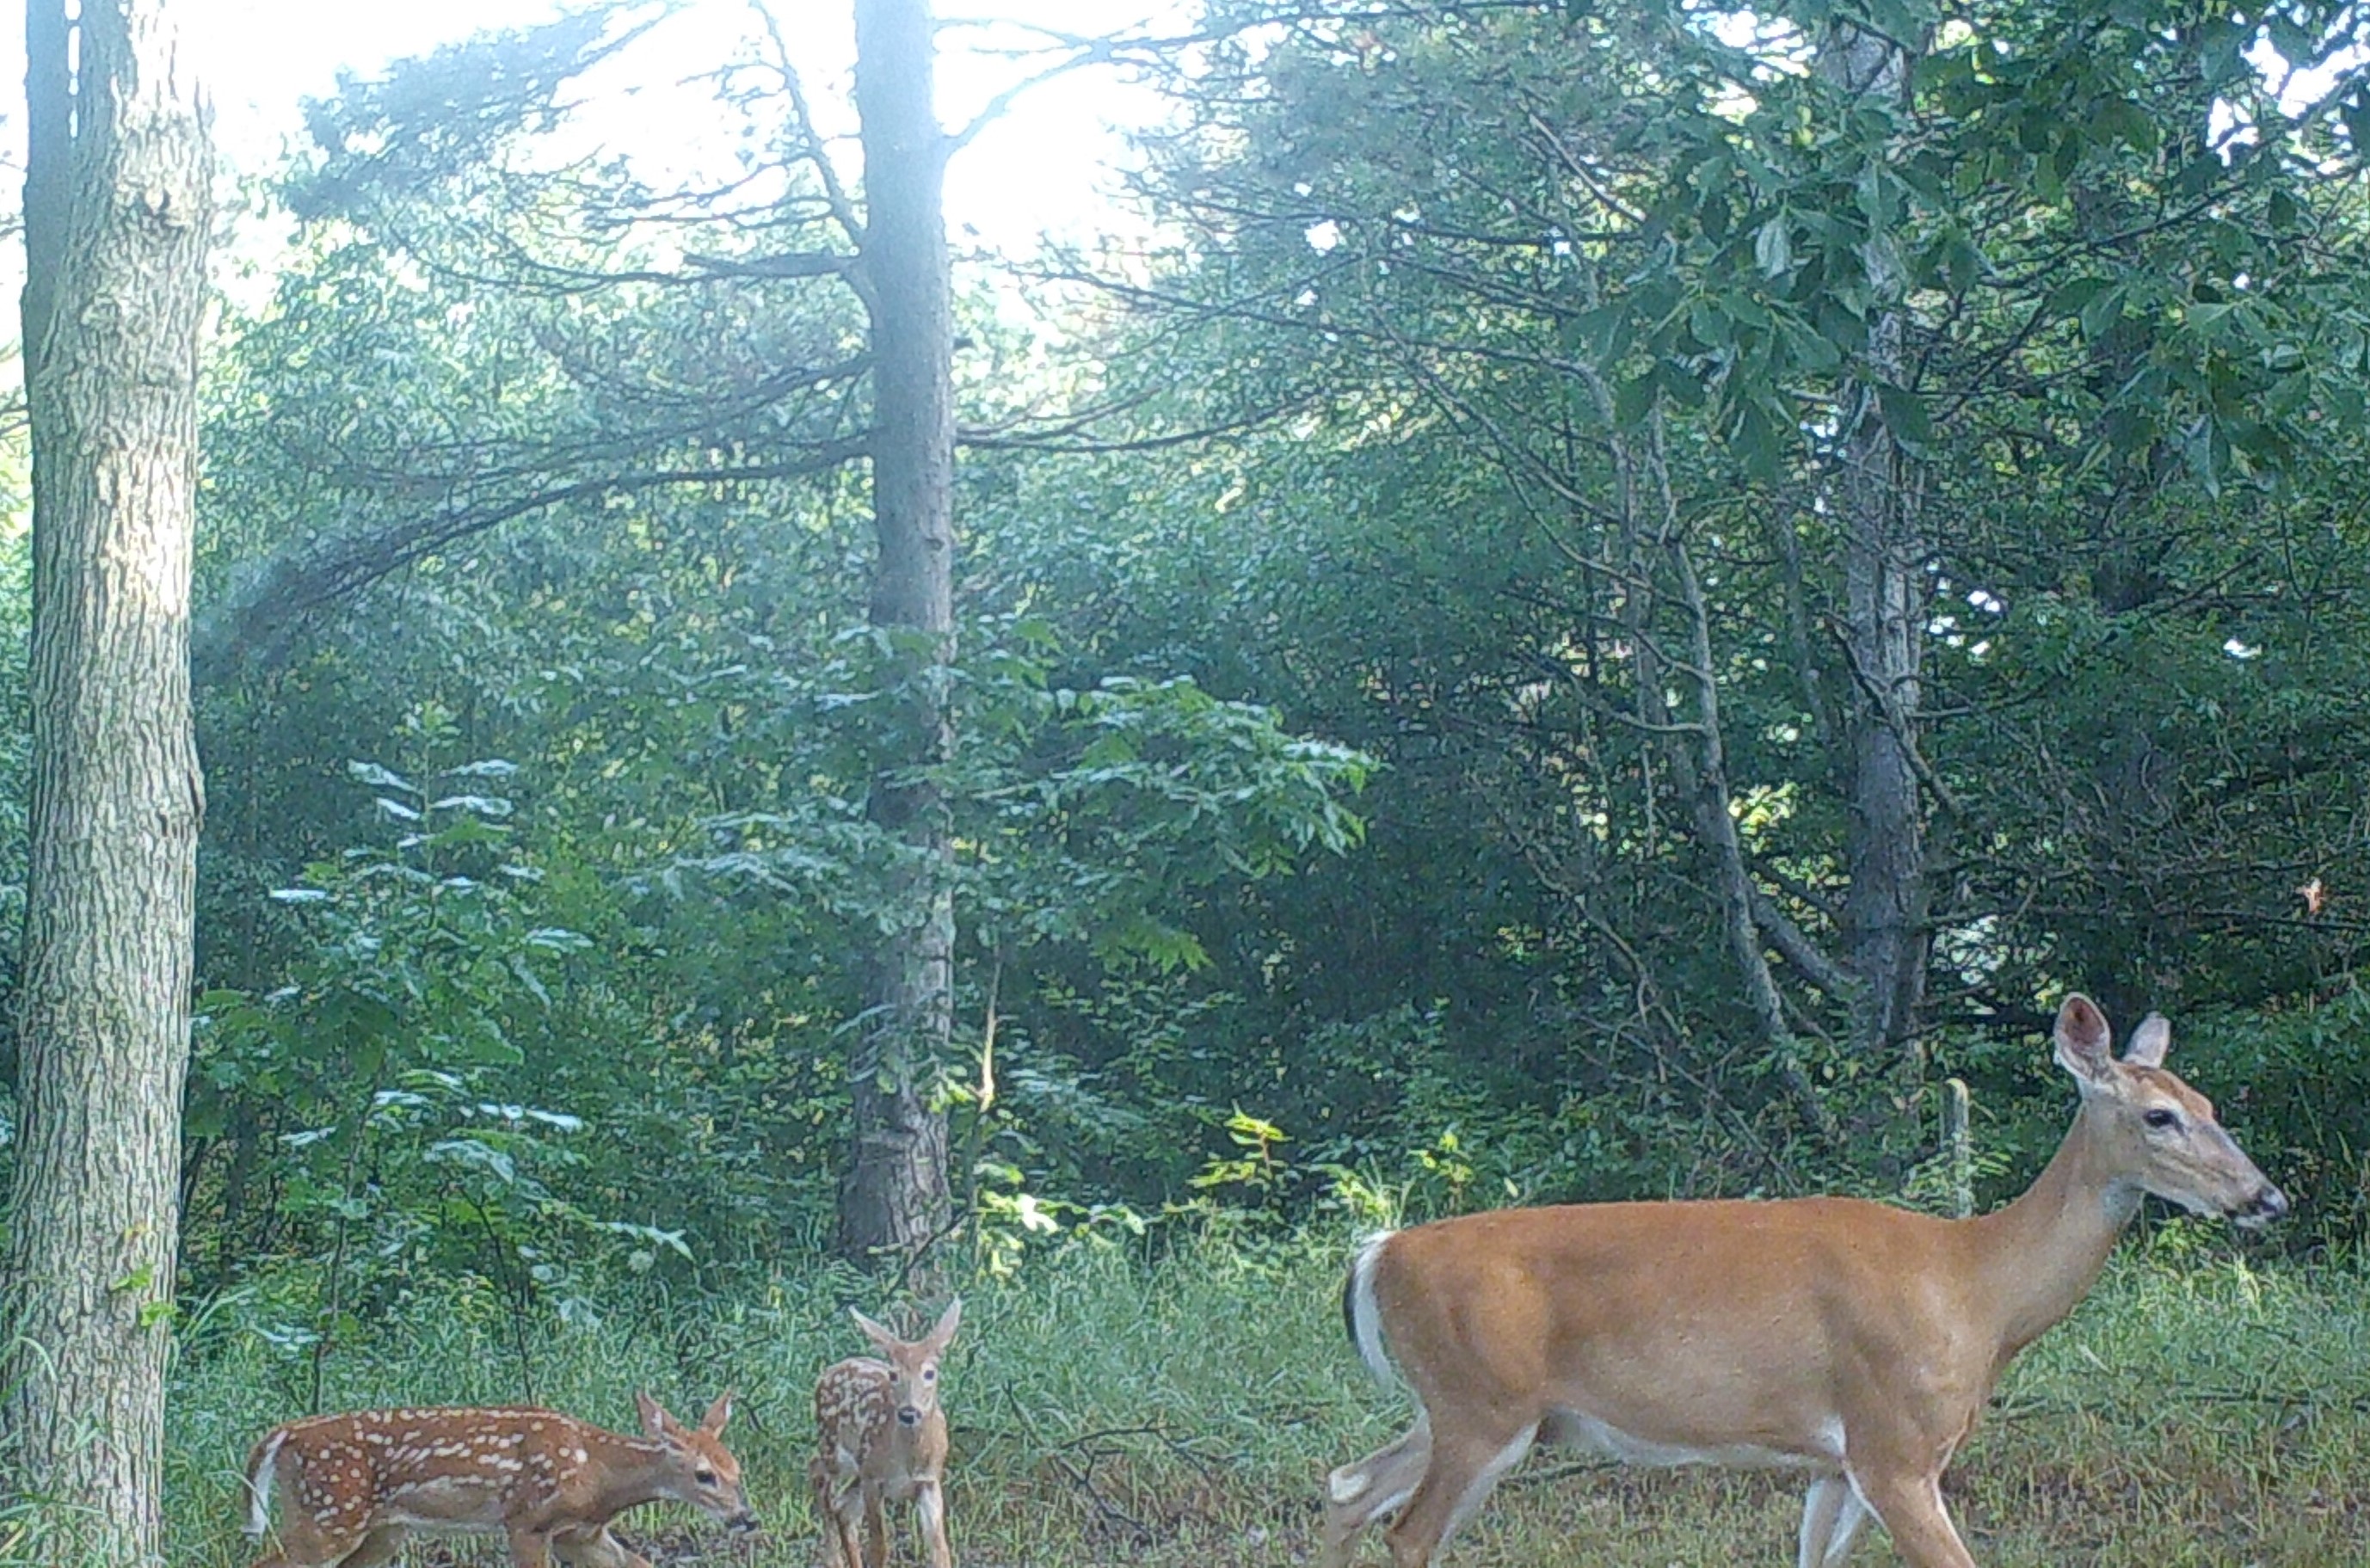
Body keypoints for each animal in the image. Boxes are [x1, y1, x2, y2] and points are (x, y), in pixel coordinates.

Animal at [240, 1390, 756, 1567]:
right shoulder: (527, 1521)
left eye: (737, 1470)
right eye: (704, 1475)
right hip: (328, 1515)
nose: (747, 1518)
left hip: (383, 1531)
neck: (596, 1474)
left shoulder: (582, 1536)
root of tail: (284, 1434)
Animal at [811, 1299, 962, 1568]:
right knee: (817, 1471)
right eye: (893, 1374)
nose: (909, 1412)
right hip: (835, 1449)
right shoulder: (874, 1479)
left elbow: (939, 1549)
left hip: (857, 1468)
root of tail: (827, 1372)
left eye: (929, 1373)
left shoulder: (929, 1481)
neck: (908, 1460)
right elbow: (880, 1547)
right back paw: (833, 1558)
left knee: (843, 1508)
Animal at [1322, 994, 2289, 1568]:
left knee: (1347, 1489)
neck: (1977, 1288)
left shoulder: (1835, 1461)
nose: (2265, 1195)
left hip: (1465, 1406)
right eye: (2159, 1116)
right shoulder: (1892, 1442)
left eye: (2210, 1105)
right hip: (1481, 1404)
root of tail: (1379, 1252)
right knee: (1404, 1530)